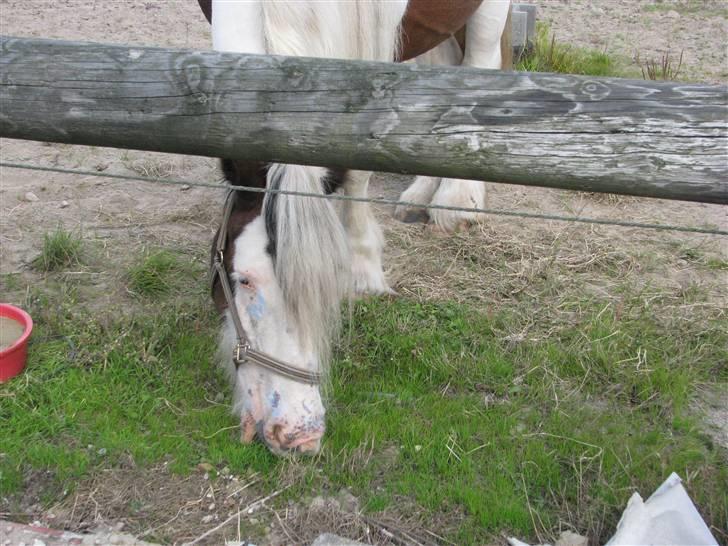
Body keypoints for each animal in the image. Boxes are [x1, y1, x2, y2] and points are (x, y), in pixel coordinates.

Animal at [198, 0, 512, 452]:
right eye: (244, 280)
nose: (300, 432)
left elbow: (357, 161)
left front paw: (364, 270)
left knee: (480, 60)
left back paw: (457, 199)